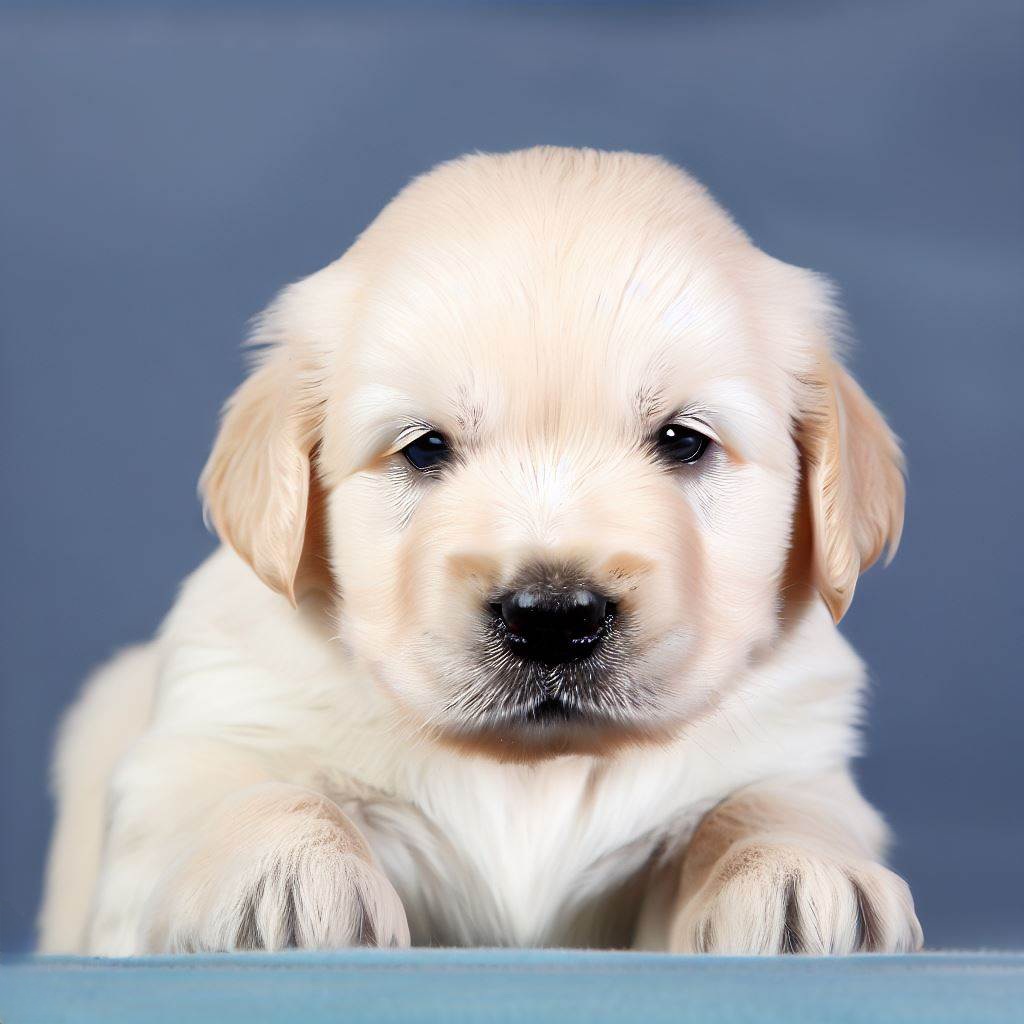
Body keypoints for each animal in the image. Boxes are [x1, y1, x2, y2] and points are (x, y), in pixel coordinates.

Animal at [36, 148, 925, 954]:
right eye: (425, 448)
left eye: (683, 441)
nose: (554, 616)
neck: (531, 770)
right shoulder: (208, 728)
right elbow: (243, 782)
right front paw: (283, 868)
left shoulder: (792, 743)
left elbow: (763, 800)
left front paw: (799, 868)